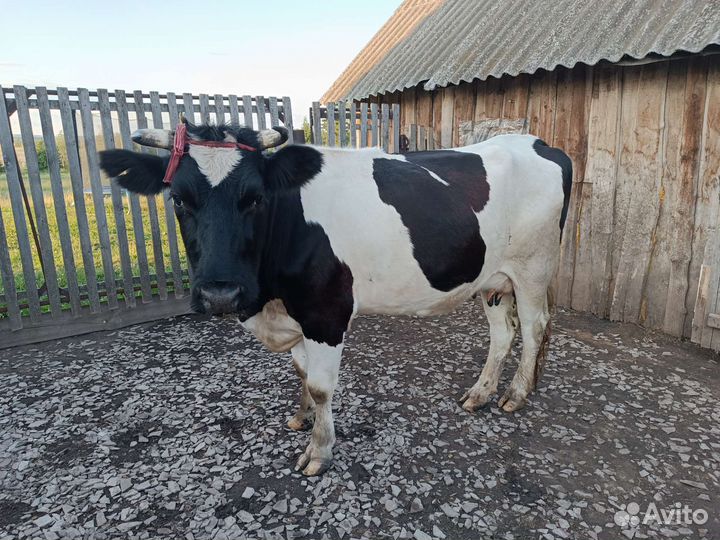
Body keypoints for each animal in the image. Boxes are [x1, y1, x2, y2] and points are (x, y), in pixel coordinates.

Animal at [99, 120, 572, 476]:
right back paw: (480, 393)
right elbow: (301, 372)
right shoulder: (295, 315)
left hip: (533, 268)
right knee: (502, 334)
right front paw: (302, 416)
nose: (220, 293)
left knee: (534, 329)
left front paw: (319, 451)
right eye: (178, 199)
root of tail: (536, 142)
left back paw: (517, 394)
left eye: (255, 198)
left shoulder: (326, 313)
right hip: (491, 279)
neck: (267, 300)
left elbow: (322, 385)